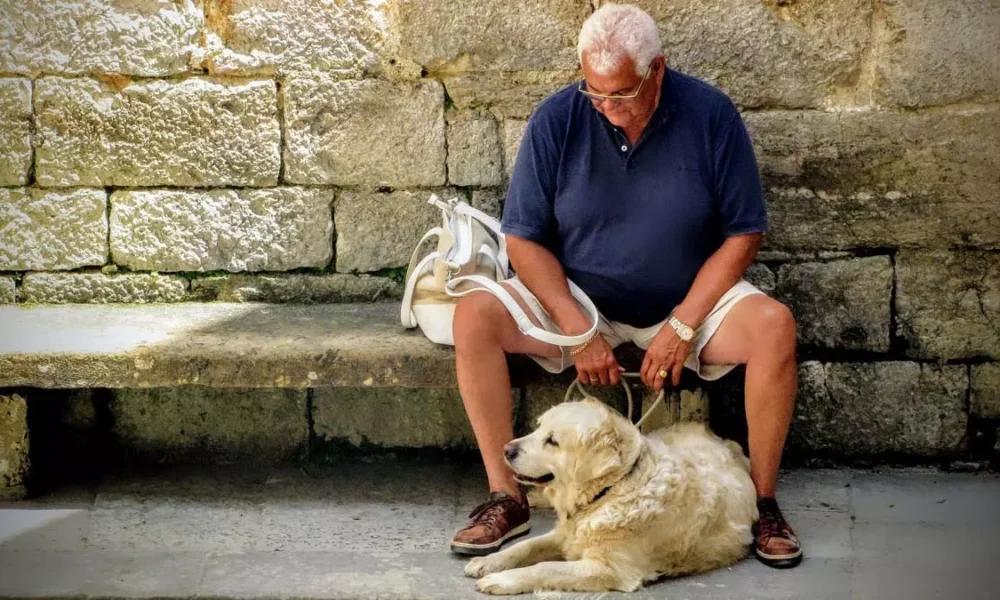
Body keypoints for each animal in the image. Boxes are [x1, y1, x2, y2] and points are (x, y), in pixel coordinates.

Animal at [464, 398, 752, 596]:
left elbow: (545, 567)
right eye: (538, 428)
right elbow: (525, 546)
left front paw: (503, 580)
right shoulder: (564, 534)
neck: (610, 491)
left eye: (553, 441)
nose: (506, 449)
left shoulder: (610, 569)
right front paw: (487, 562)